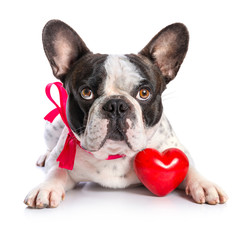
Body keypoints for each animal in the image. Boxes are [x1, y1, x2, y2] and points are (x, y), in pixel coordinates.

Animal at [23, 20, 227, 208]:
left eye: (144, 93)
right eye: (86, 93)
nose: (116, 104)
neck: (115, 153)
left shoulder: (178, 150)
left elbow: (189, 168)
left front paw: (204, 184)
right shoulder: (61, 159)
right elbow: (56, 171)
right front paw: (46, 188)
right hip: (53, 125)